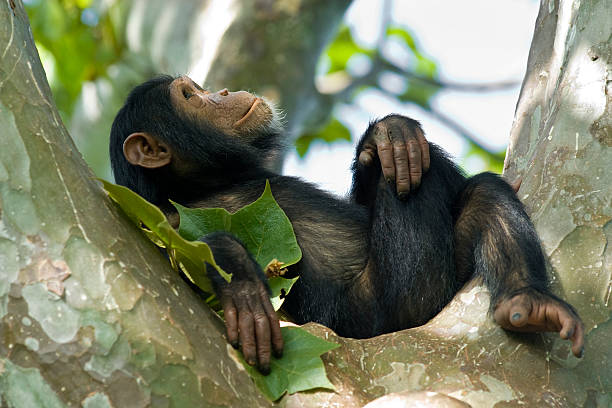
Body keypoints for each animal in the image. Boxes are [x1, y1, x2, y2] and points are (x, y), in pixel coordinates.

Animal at [109, 75, 584, 374]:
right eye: (190, 96)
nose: (220, 91)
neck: (209, 182)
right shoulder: (162, 217)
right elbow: (180, 252)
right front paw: (241, 284)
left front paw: (389, 135)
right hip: (400, 301)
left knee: (479, 192)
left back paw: (527, 301)